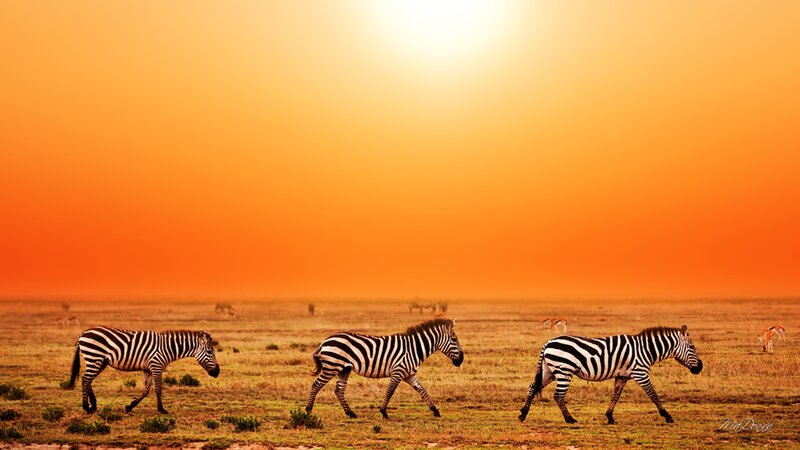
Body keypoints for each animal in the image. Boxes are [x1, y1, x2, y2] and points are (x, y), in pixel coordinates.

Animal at [67, 327, 220, 414]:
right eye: (209, 351)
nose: (217, 372)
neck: (167, 348)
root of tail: (83, 334)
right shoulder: (156, 366)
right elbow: (158, 389)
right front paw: (161, 409)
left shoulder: (148, 369)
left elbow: (146, 390)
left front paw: (130, 406)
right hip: (94, 357)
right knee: (85, 379)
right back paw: (87, 407)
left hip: (100, 361)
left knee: (88, 380)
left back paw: (93, 406)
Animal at [305, 318, 464, 419]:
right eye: (454, 340)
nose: (461, 360)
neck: (414, 349)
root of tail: (325, 341)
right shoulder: (398, 371)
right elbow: (390, 391)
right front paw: (383, 412)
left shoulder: (409, 374)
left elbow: (422, 390)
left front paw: (435, 411)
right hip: (331, 366)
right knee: (316, 385)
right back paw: (308, 410)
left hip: (344, 368)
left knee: (339, 390)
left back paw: (350, 413)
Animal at [519, 325, 702, 425]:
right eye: (692, 347)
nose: (700, 367)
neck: (646, 350)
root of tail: (548, 342)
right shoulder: (640, 373)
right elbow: (653, 394)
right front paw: (667, 416)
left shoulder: (622, 375)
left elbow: (616, 395)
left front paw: (609, 417)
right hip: (563, 370)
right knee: (558, 395)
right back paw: (570, 419)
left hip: (549, 370)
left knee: (533, 386)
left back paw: (523, 414)